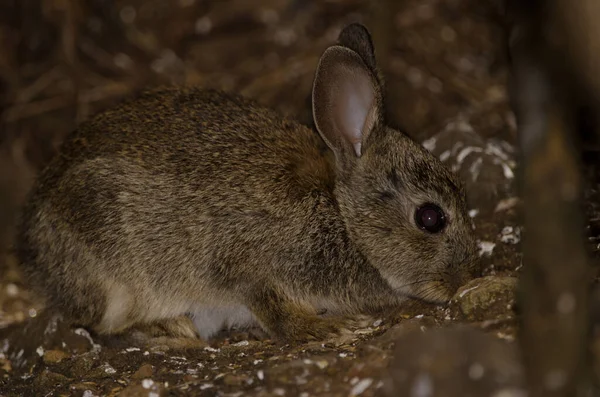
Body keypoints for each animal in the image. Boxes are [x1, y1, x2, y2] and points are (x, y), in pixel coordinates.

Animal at [15, 23, 478, 344]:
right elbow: (269, 304)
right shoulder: (246, 264)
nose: (465, 279)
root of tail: (35, 257)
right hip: (115, 274)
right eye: (431, 218)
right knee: (100, 324)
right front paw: (330, 329)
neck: (342, 214)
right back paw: (171, 330)